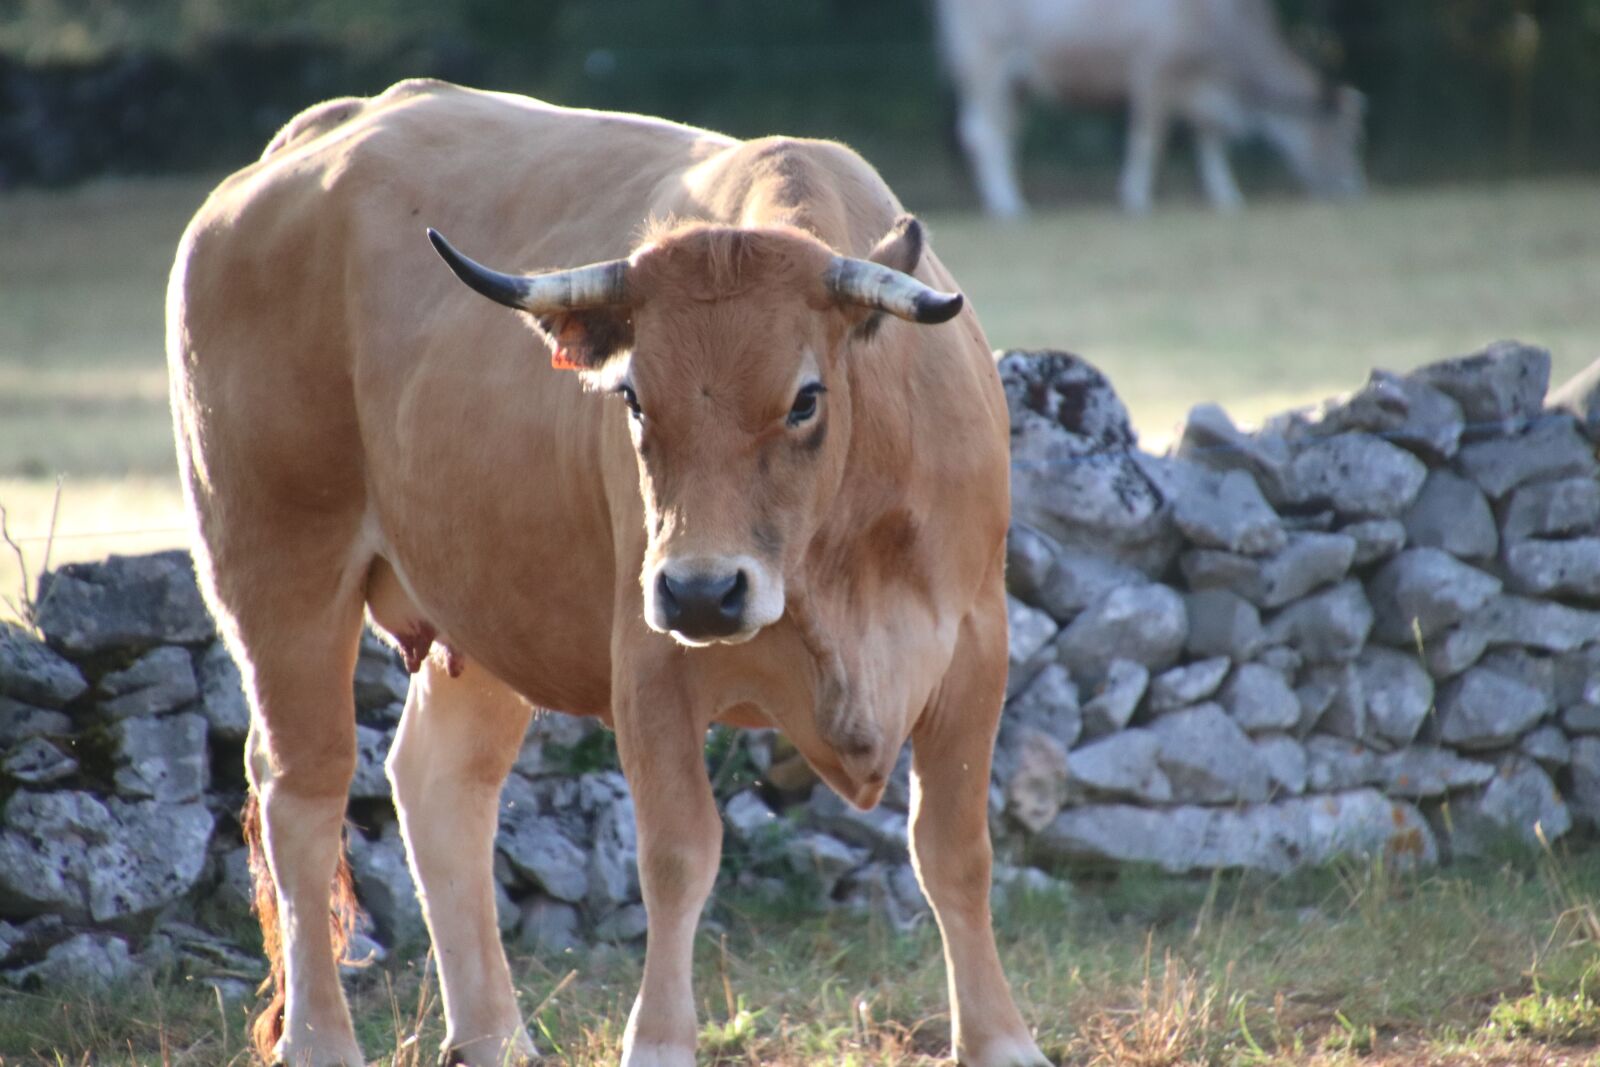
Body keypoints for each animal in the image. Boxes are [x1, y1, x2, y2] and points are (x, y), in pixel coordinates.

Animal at [166, 79, 1050, 1067]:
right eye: (631, 395)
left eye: (805, 398)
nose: (703, 589)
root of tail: (314, 138)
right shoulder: (651, 663)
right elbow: (677, 856)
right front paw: (659, 1040)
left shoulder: (974, 648)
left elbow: (955, 853)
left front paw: (1002, 1038)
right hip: (279, 573)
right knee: (302, 794)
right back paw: (320, 1036)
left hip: (487, 607)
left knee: (439, 783)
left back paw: (495, 1037)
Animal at [935, 0, 1367, 216]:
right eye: (1343, 137)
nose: (1353, 188)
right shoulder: (1155, 73)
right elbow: (1148, 139)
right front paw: (1136, 199)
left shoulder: (1204, 91)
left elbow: (1210, 140)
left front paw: (1226, 197)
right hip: (986, 60)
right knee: (986, 133)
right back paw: (1009, 208)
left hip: (1017, 82)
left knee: (1000, 133)